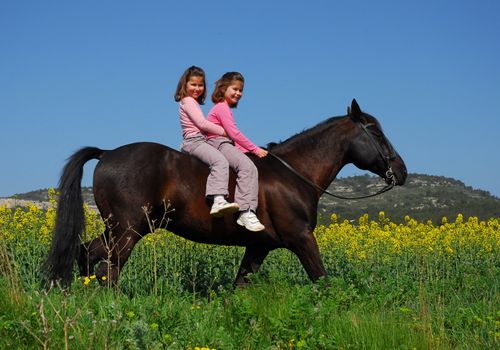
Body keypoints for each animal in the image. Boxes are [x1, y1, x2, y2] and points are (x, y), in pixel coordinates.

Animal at [44, 99, 406, 288]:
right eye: (375, 132)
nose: (400, 171)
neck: (294, 173)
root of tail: (106, 154)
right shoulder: (302, 238)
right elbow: (322, 280)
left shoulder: (259, 247)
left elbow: (240, 286)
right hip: (128, 230)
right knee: (107, 268)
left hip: (119, 228)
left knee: (86, 256)